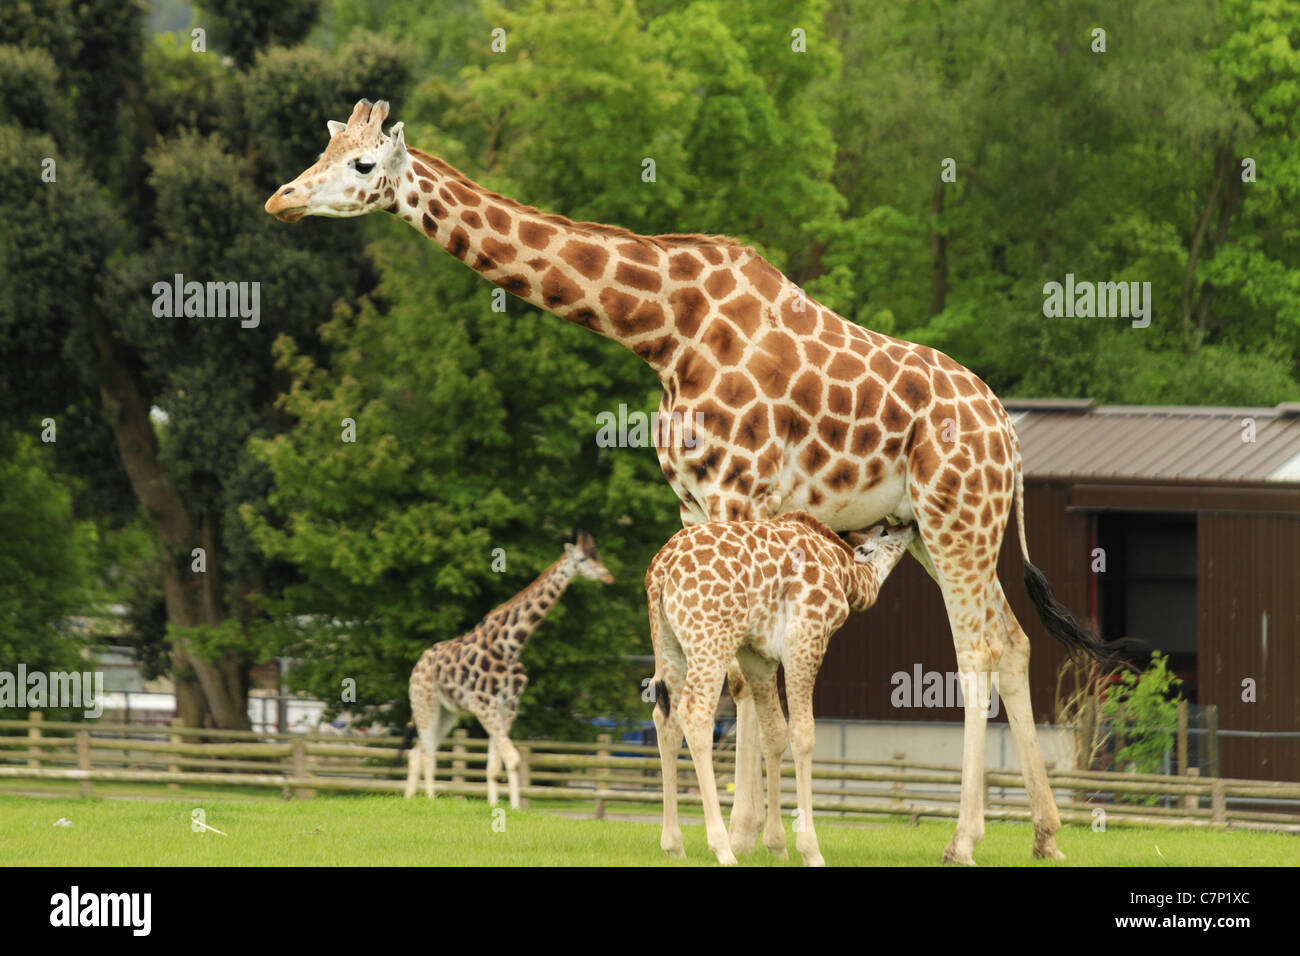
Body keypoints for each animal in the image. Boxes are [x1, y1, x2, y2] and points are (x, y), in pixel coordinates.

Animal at [403, 530, 613, 808]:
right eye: (582, 559)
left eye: (597, 555)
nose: (607, 576)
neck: (511, 645)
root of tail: (417, 666)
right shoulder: (484, 704)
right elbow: (511, 758)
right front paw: (510, 807)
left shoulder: (508, 706)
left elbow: (497, 766)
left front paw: (506, 808)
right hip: (425, 703)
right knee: (427, 754)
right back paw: (430, 800)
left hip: (448, 712)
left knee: (418, 751)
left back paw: (410, 799)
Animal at [647, 512, 914, 866]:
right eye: (885, 530)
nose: (911, 525)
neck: (846, 573)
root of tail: (659, 570)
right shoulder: (805, 639)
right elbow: (803, 735)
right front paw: (810, 850)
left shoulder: (757, 656)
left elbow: (774, 733)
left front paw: (777, 845)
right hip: (712, 638)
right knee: (695, 713)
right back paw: (722, 847)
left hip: (669, 643)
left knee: (666, 717)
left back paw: (674, 845)